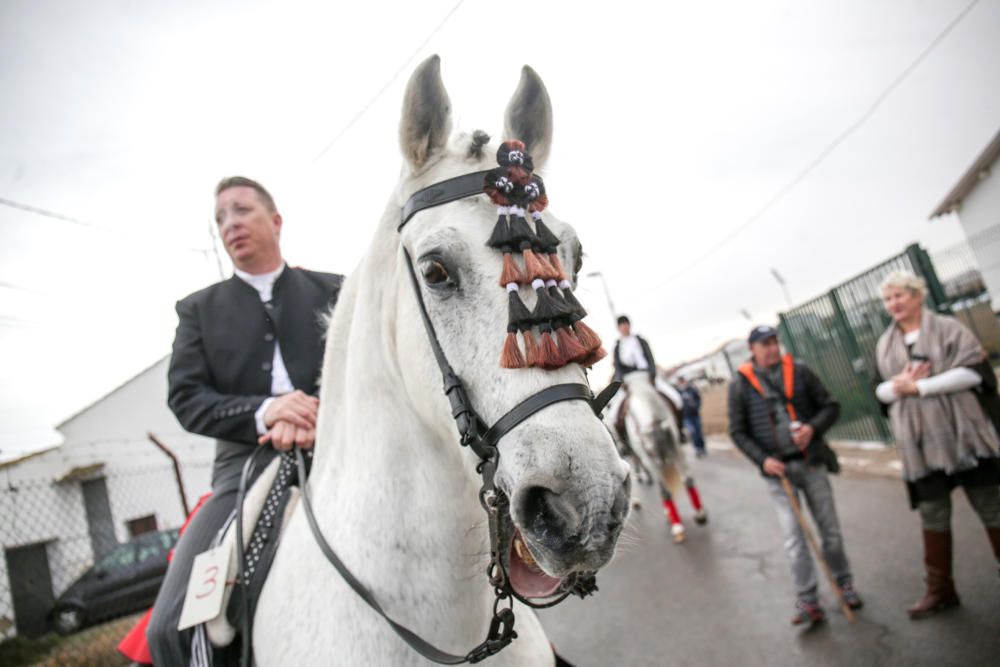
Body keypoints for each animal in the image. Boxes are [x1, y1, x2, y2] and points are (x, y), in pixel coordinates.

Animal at [616, 370, 704, 544]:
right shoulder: (648, 457)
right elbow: (664, 489)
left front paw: (700, 514)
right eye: (631, 412)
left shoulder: (675, 447)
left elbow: (688, 479)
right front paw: (677, 527)